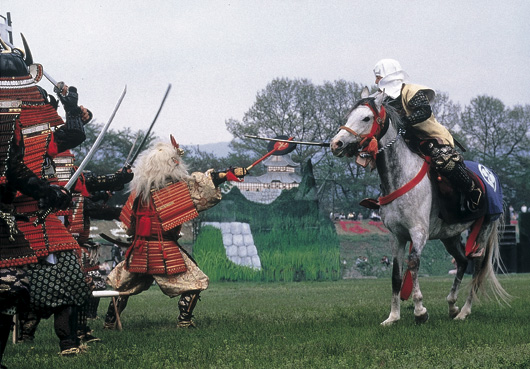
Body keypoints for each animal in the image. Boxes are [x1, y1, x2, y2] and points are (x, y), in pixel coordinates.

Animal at [328, 87, 506, 324]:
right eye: (349, 116)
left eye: (366, 118)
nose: (336, 144)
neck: (401, 175)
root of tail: (492, 176)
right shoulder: (397, 235)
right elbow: (396, 273)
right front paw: (393, 317)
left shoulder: (418, 232)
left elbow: (413, 263)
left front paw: (420, 311)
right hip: (450, 234)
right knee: (461, 261)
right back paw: (452, 306)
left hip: (484, 228)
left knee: (476, 266)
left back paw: (464, 311)